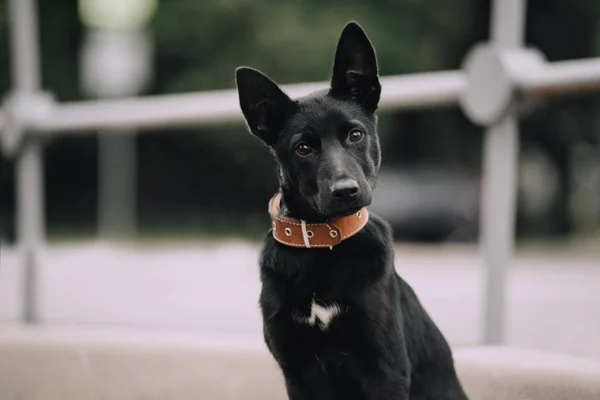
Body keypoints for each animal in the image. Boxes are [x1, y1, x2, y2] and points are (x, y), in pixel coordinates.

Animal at [234, 21, 468, 400]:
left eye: (355, 135)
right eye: (303, 148)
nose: (346, 191)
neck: (321, 244)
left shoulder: (385, 369)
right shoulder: (296, 372)